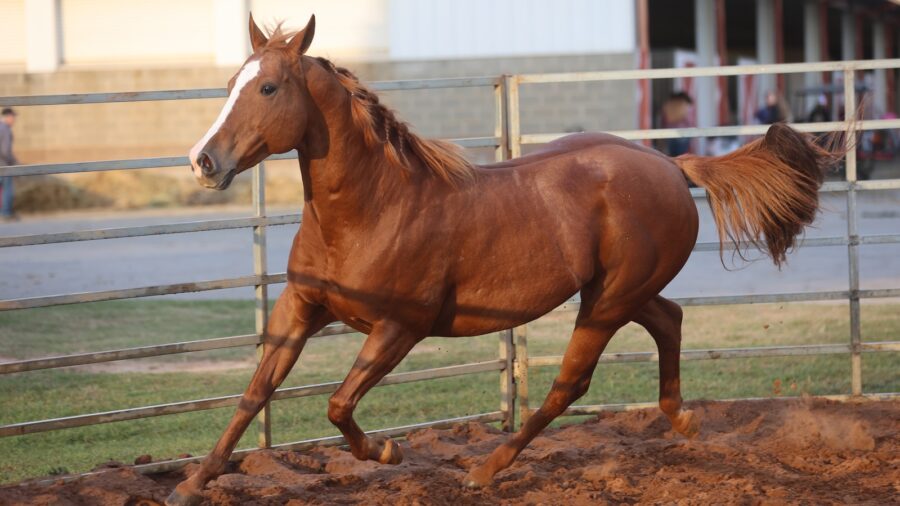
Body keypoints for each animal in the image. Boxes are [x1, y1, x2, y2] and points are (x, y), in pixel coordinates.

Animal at [167, 14, 837, 505]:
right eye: (230, 84)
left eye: (269, 87)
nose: (203, 161)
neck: (371, 208)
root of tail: (672, 164)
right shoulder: (299, 308)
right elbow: (253, 394)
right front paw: (190, 486)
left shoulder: (399, 327)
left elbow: (337, 404)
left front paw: (388, 452)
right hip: (620, 292)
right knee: (668, 321)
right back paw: (684, 420)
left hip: (607, 303)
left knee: (570, 384)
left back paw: (486, 469)